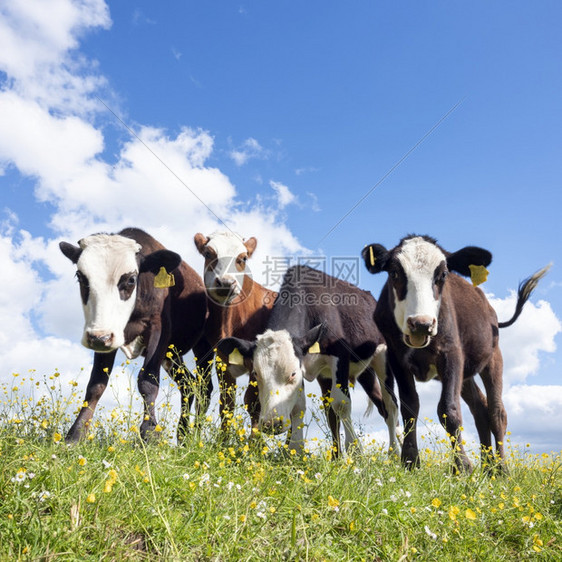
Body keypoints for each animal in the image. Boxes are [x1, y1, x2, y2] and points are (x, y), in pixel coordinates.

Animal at [59, 225, 208, 440]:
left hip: (205, 346)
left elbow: (148, 380)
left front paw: (150, 433)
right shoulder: (107, 335)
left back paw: (195, 435)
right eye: (80, 276)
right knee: (187, 384)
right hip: (172, 354)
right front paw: (76, 434)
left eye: (130, 279)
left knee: (205, 387)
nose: (98, 337)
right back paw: (182, 436)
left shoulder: (159, 329)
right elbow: (96, 384)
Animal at [192, 231, 276, 428]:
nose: (225, 282)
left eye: (243, 258)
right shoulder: (223, 361)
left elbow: (254, 405)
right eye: (208, 253)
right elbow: (227, 405)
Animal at [215, 264, 398, 456]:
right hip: (360, 372)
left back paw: (395, 453)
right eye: (256, 374)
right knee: (372, 408)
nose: (272, 424)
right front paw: (296, 449)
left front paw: (355, 450)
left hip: (382, 357)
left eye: (292, 374)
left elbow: (341, 403)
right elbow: (299, 406)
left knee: (391, 406)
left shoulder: (339, 356)